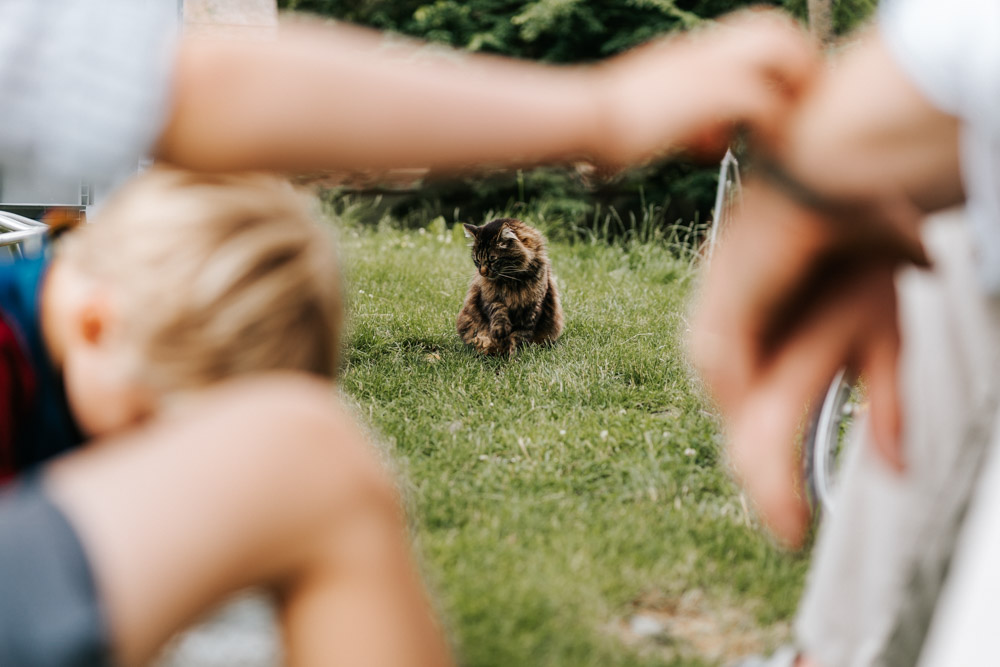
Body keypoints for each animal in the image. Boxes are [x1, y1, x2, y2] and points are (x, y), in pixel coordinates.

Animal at [458, 218, 564, 354]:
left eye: (492, 259)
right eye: (477, 260)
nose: (482, 273)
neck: (512, 280)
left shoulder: (532, 308)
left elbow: (519, 336)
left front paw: (514, 355)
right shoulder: (488, 297)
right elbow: (498, 309)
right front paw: (500, 331)